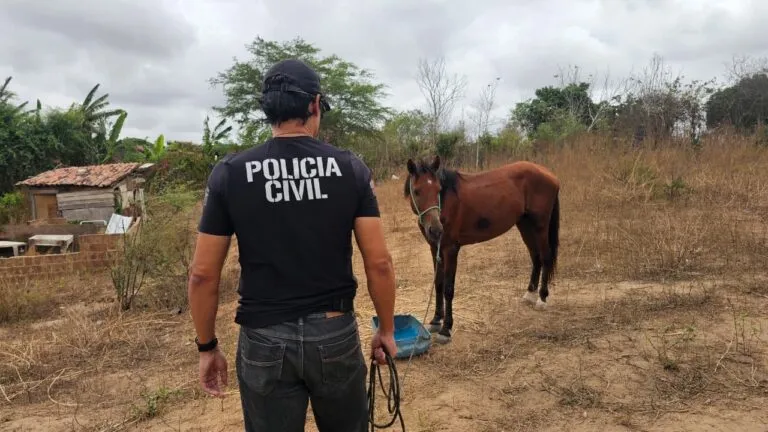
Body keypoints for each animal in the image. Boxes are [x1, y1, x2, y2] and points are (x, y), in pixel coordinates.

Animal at [404, 155, 561, 344]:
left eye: (438, 190)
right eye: (417, 191)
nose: (435, 229)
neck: (447, 201)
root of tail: (550, 175)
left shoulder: (450, 249)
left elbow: (448, 288)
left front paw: (446, 329)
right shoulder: (435, 248)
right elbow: (438, 284)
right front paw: (435, 320)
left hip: (540, 226)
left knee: (545, 257)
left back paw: (542, 299)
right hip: (524, 224)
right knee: (535, 257)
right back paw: (530, 294)